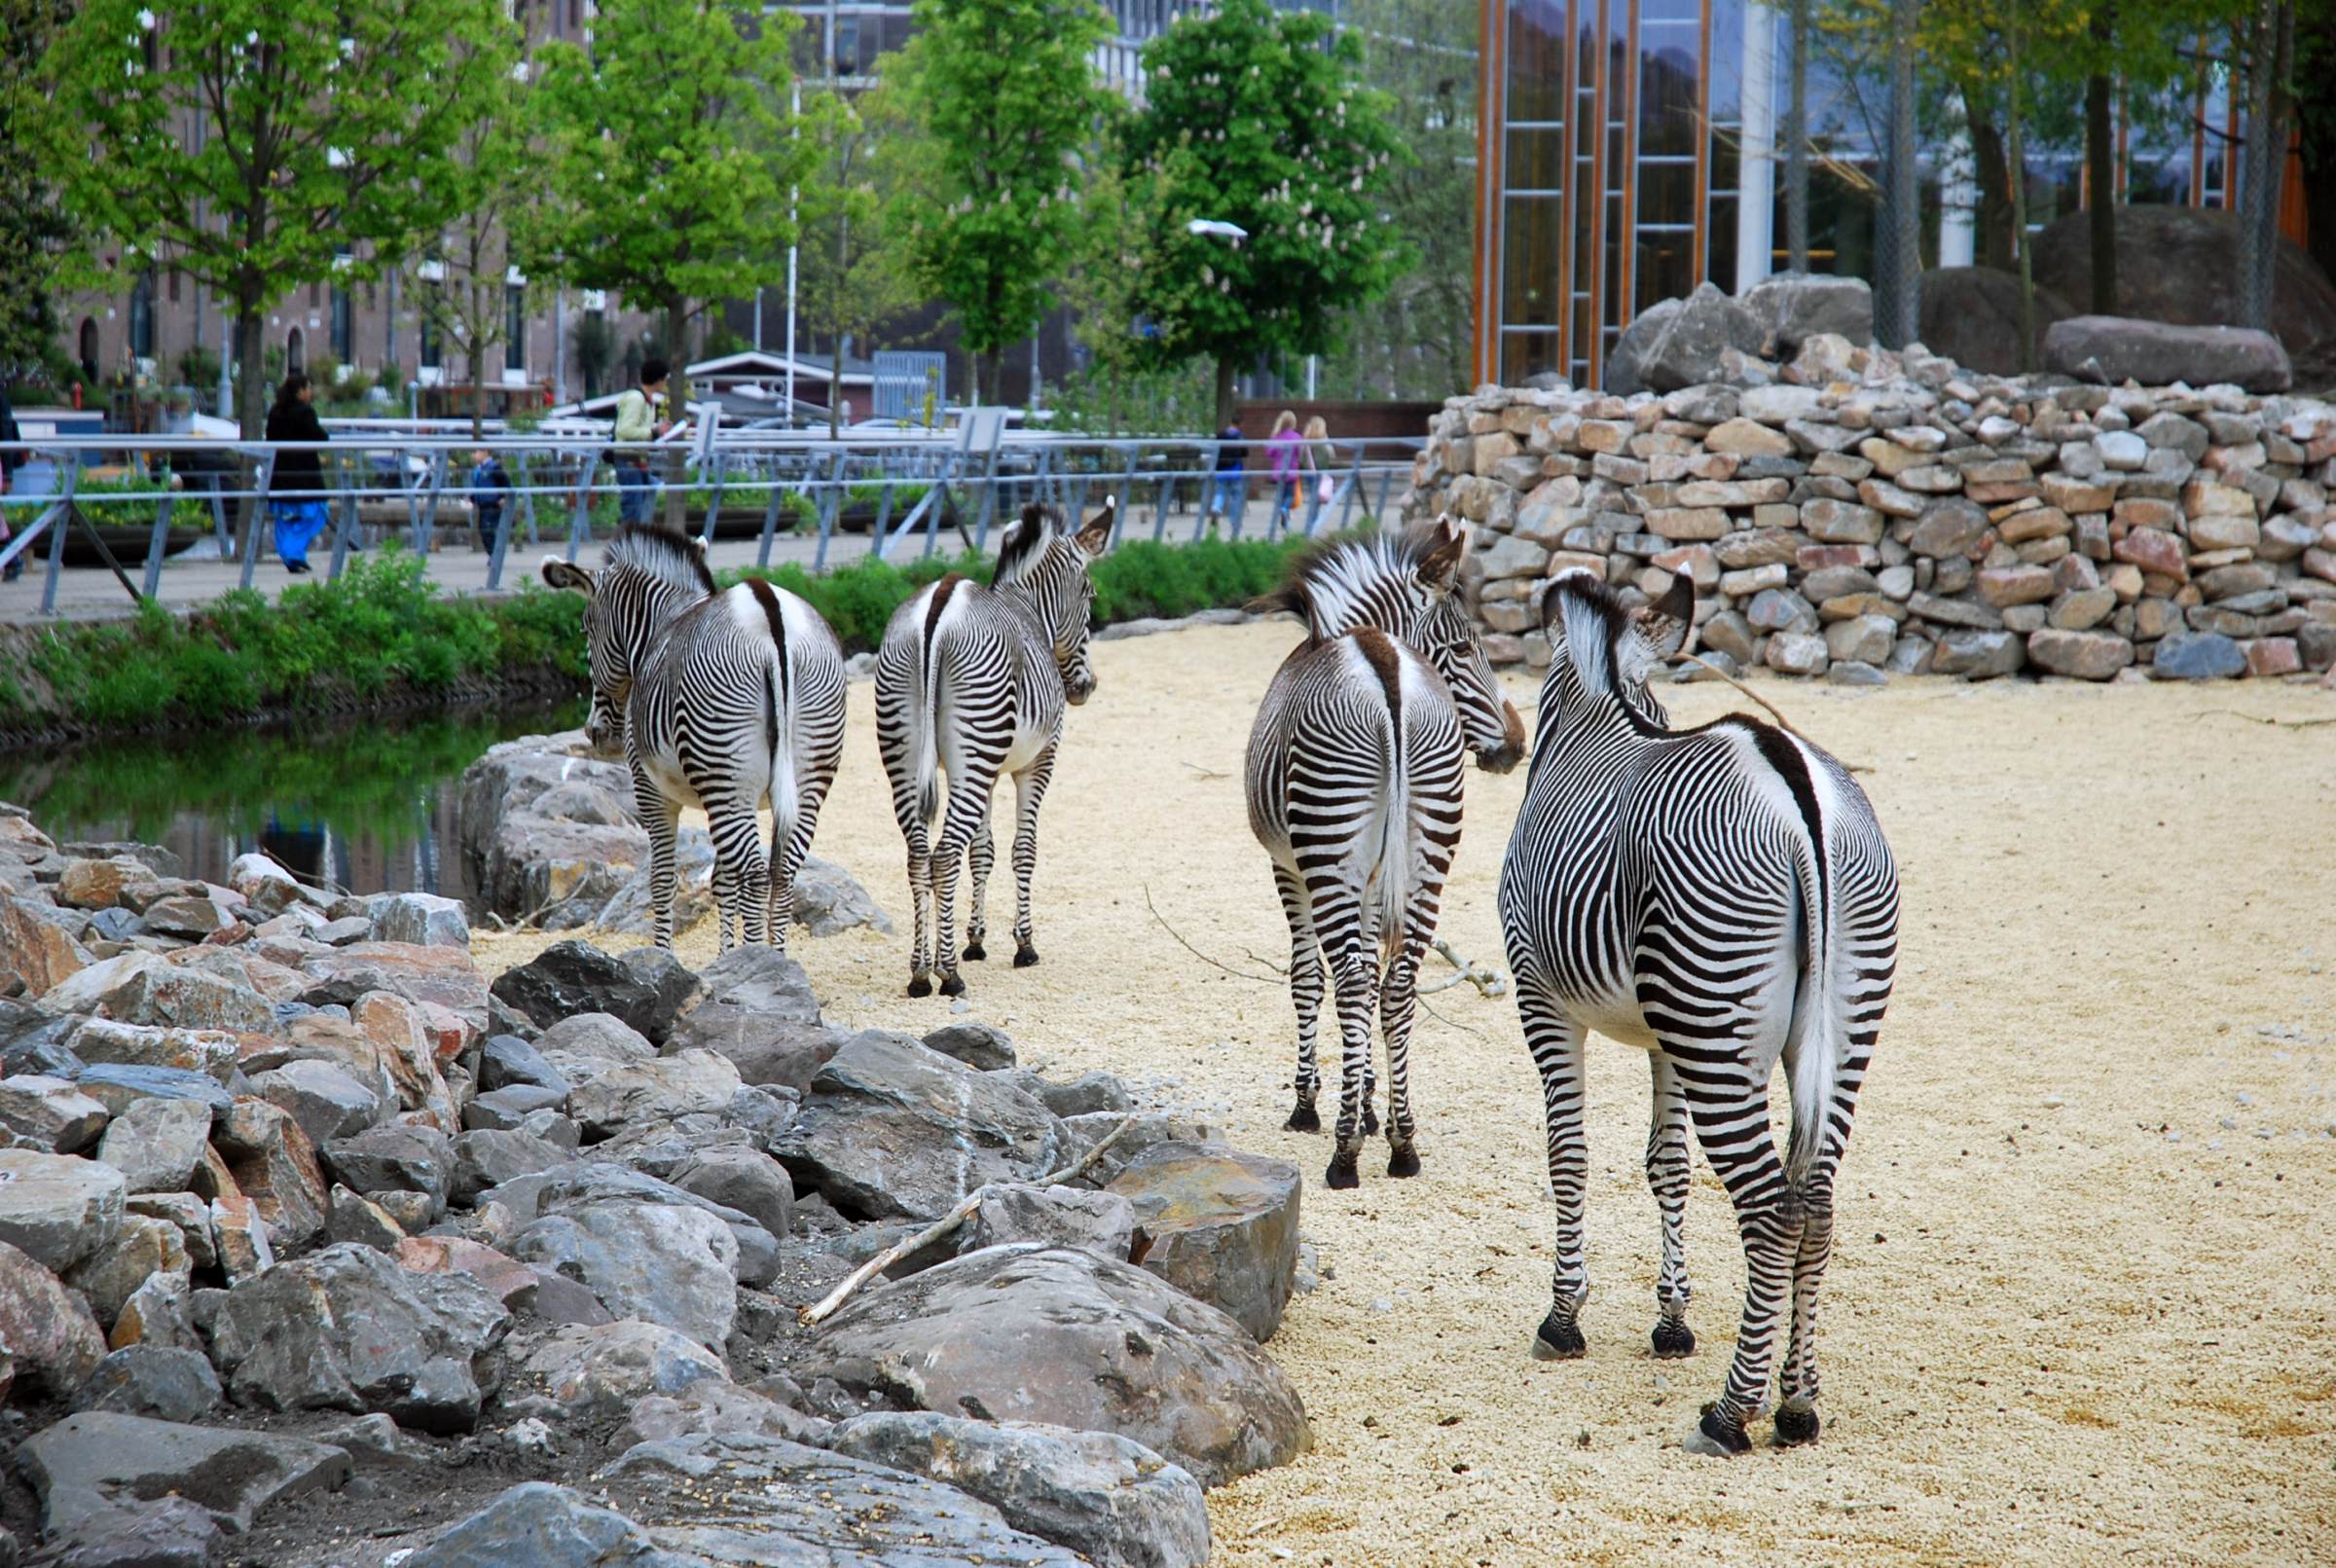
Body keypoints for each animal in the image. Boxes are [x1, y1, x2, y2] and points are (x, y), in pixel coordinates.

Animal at [539, 521, 850, 948]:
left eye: (586, 630)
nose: (596, 734)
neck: (663, 624)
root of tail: (770, 611)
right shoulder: (732, 797)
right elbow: (722, 880)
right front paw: (725, 957)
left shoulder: (651, 790)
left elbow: (662, 880)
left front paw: (664, 954)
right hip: (802, 772)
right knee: (783, 871)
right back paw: (778, 960)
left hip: (725, 777)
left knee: (756, 874)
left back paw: (760, 958)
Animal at [878, 497, 1112, 1000]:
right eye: (1090, 595)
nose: (1086, 688)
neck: (1030, 610)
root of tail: (937, 610)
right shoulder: (1037, 763)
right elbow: (1023, 849)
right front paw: (1023, 944)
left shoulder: (980, 771)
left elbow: (981, 849)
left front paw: (975, 940)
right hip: (976, 747)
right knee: (945, 854)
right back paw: (947, 975)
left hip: (908, 753)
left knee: (919, 856)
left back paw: (919, 972)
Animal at [1242, 518, 1532, 1191]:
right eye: (1463, 649)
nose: (1516, 744)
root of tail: (1387, 666)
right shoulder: (1374, 876)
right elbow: (1374, 976)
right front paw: (1373, 1105)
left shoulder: (1288, 866)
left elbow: (1306, 977)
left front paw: (1312, 1105)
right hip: (1429, 850)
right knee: (1398, 983)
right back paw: (1403, 1144)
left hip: (1327, 845)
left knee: (1350, 979)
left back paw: (1343, 1154)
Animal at [1495, 567, 1896, 1458]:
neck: (1596, 719)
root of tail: (1797, 794)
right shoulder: (1664, 1034)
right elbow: (1665, 1163)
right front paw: (1672, 1319)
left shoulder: (1542, 998)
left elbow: (1568, 1153)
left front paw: (1563, 1316)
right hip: (1824, 1018)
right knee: (1815, 1205)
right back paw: (1797, 1403)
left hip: (1716, 1016)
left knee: (1770, 1212)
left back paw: (1731, 1410)